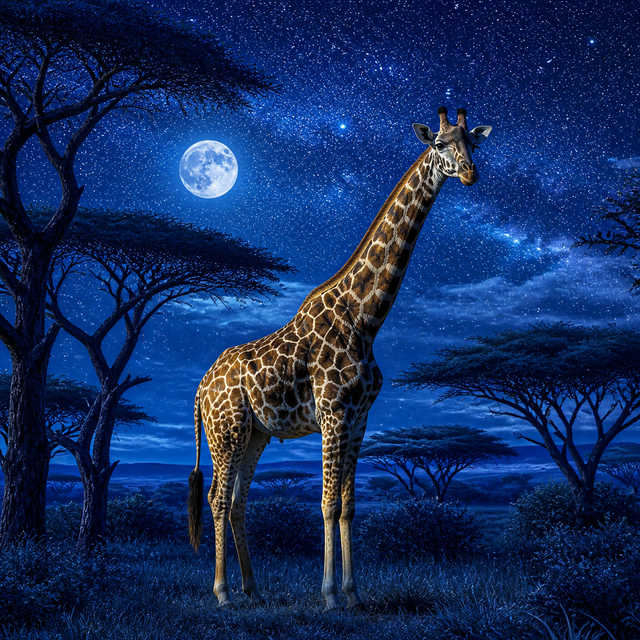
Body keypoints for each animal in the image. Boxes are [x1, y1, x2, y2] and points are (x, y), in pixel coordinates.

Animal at [187, 106, 492, 610]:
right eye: (439, 144)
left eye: (473, 142)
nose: (470, 174)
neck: (365, 318)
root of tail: (199, 389)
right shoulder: (332, 413)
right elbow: (328, 504)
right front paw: (329, 595)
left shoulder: (360, 417)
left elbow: (348, 506)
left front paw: (353, 594)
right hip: (225, 431)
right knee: (216, 498)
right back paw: (223, 593)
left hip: (255, 434)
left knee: (237, 502)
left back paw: (252, 589)